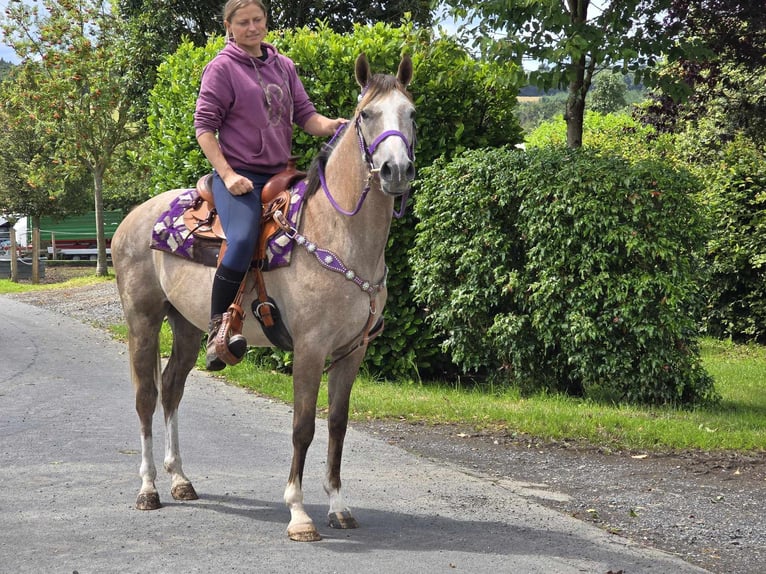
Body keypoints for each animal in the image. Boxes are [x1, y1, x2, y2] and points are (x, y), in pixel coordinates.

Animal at [109, 55, 414, 544]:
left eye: (412, 113)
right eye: (366, 114)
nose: (396, 171)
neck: (338, 233)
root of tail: (133, 217)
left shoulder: (352, 351)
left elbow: (338, 425)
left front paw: (338, 507)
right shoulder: (310, 349)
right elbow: (303, 427)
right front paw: (299, 514)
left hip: (187, 326)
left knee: (172, 388)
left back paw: (180, 479)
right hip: (143, 320)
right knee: (145, 396)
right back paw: (149, 488)